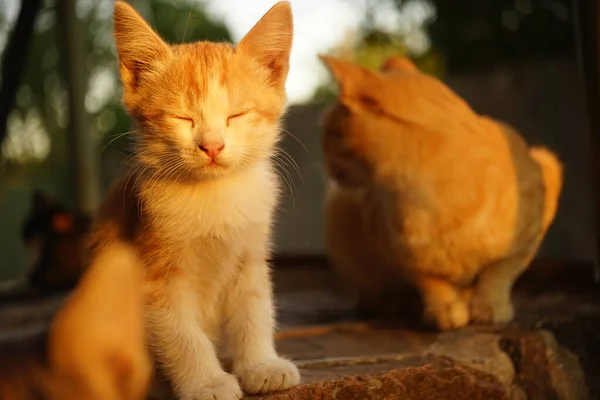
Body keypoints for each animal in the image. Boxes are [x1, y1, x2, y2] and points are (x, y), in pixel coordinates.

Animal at [89, 3, 300, 400]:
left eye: (236, 115)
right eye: (182, 118)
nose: (212, 146)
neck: (215, 196)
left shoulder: (251, 252)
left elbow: (254, 306)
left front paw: (260, 365)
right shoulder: (153, 276)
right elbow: (180, 333)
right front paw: (206, 382)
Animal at [322, 56, 564, 332]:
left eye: (327, 134)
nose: (325, 162)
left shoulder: (529, 233)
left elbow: (498, 273)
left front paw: (489, 306)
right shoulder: (399, 252)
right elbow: (431, 282)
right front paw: (445, 309)